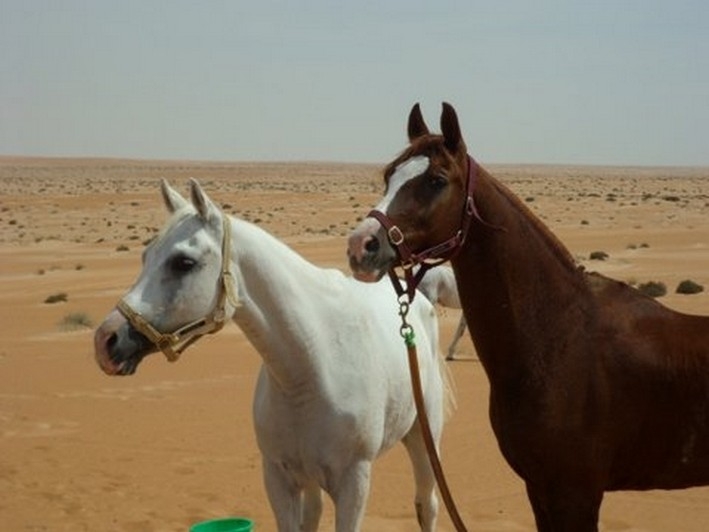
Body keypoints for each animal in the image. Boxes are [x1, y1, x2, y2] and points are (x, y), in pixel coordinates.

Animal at [92, 180, 454, 532]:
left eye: (183, 262)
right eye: (145, 255)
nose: (106, 340)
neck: (311, 364)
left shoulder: (354, 484)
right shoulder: (279, 479)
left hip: (422, 439)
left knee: (427, 505)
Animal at [346, 102, 708, 528]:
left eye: (436, 180)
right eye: (389, 175)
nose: (361, 245)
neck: (557, 339)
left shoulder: (576, 495)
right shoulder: (541, 490)